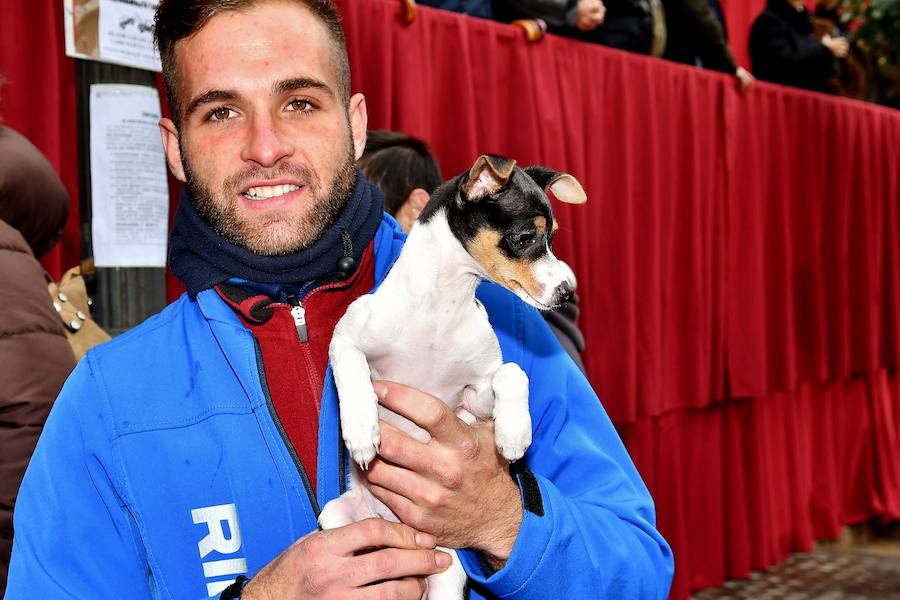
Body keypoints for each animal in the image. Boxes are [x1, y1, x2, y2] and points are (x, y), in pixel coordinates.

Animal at [320, 156, 588, 600]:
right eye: (526, 237)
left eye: (552, 238)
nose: (568, 291)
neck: (440, 310)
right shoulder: (346, 340)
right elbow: (353, 374)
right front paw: (360, 431)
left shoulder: (475, 394)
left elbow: (513, 372)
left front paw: (514, 432)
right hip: (334, 518)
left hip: (448, 572)